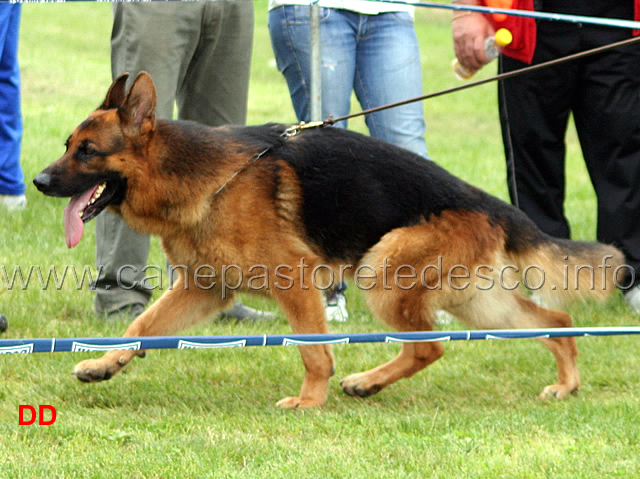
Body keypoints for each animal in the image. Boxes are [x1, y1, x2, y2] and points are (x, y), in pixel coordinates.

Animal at [33, 73, 624, 406]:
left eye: (88, 151)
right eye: (66, 145)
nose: (37, 181)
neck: (202, 176)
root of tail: (491, 203)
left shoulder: (295, 283)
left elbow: (313, 351)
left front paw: (310, 401)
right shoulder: (204, 290)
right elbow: (141, 326)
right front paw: (104, 364)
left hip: (382, 272)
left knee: (430, 344)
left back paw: (365, 382)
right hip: (474, 299)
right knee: (554, 321)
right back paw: (566, 385)